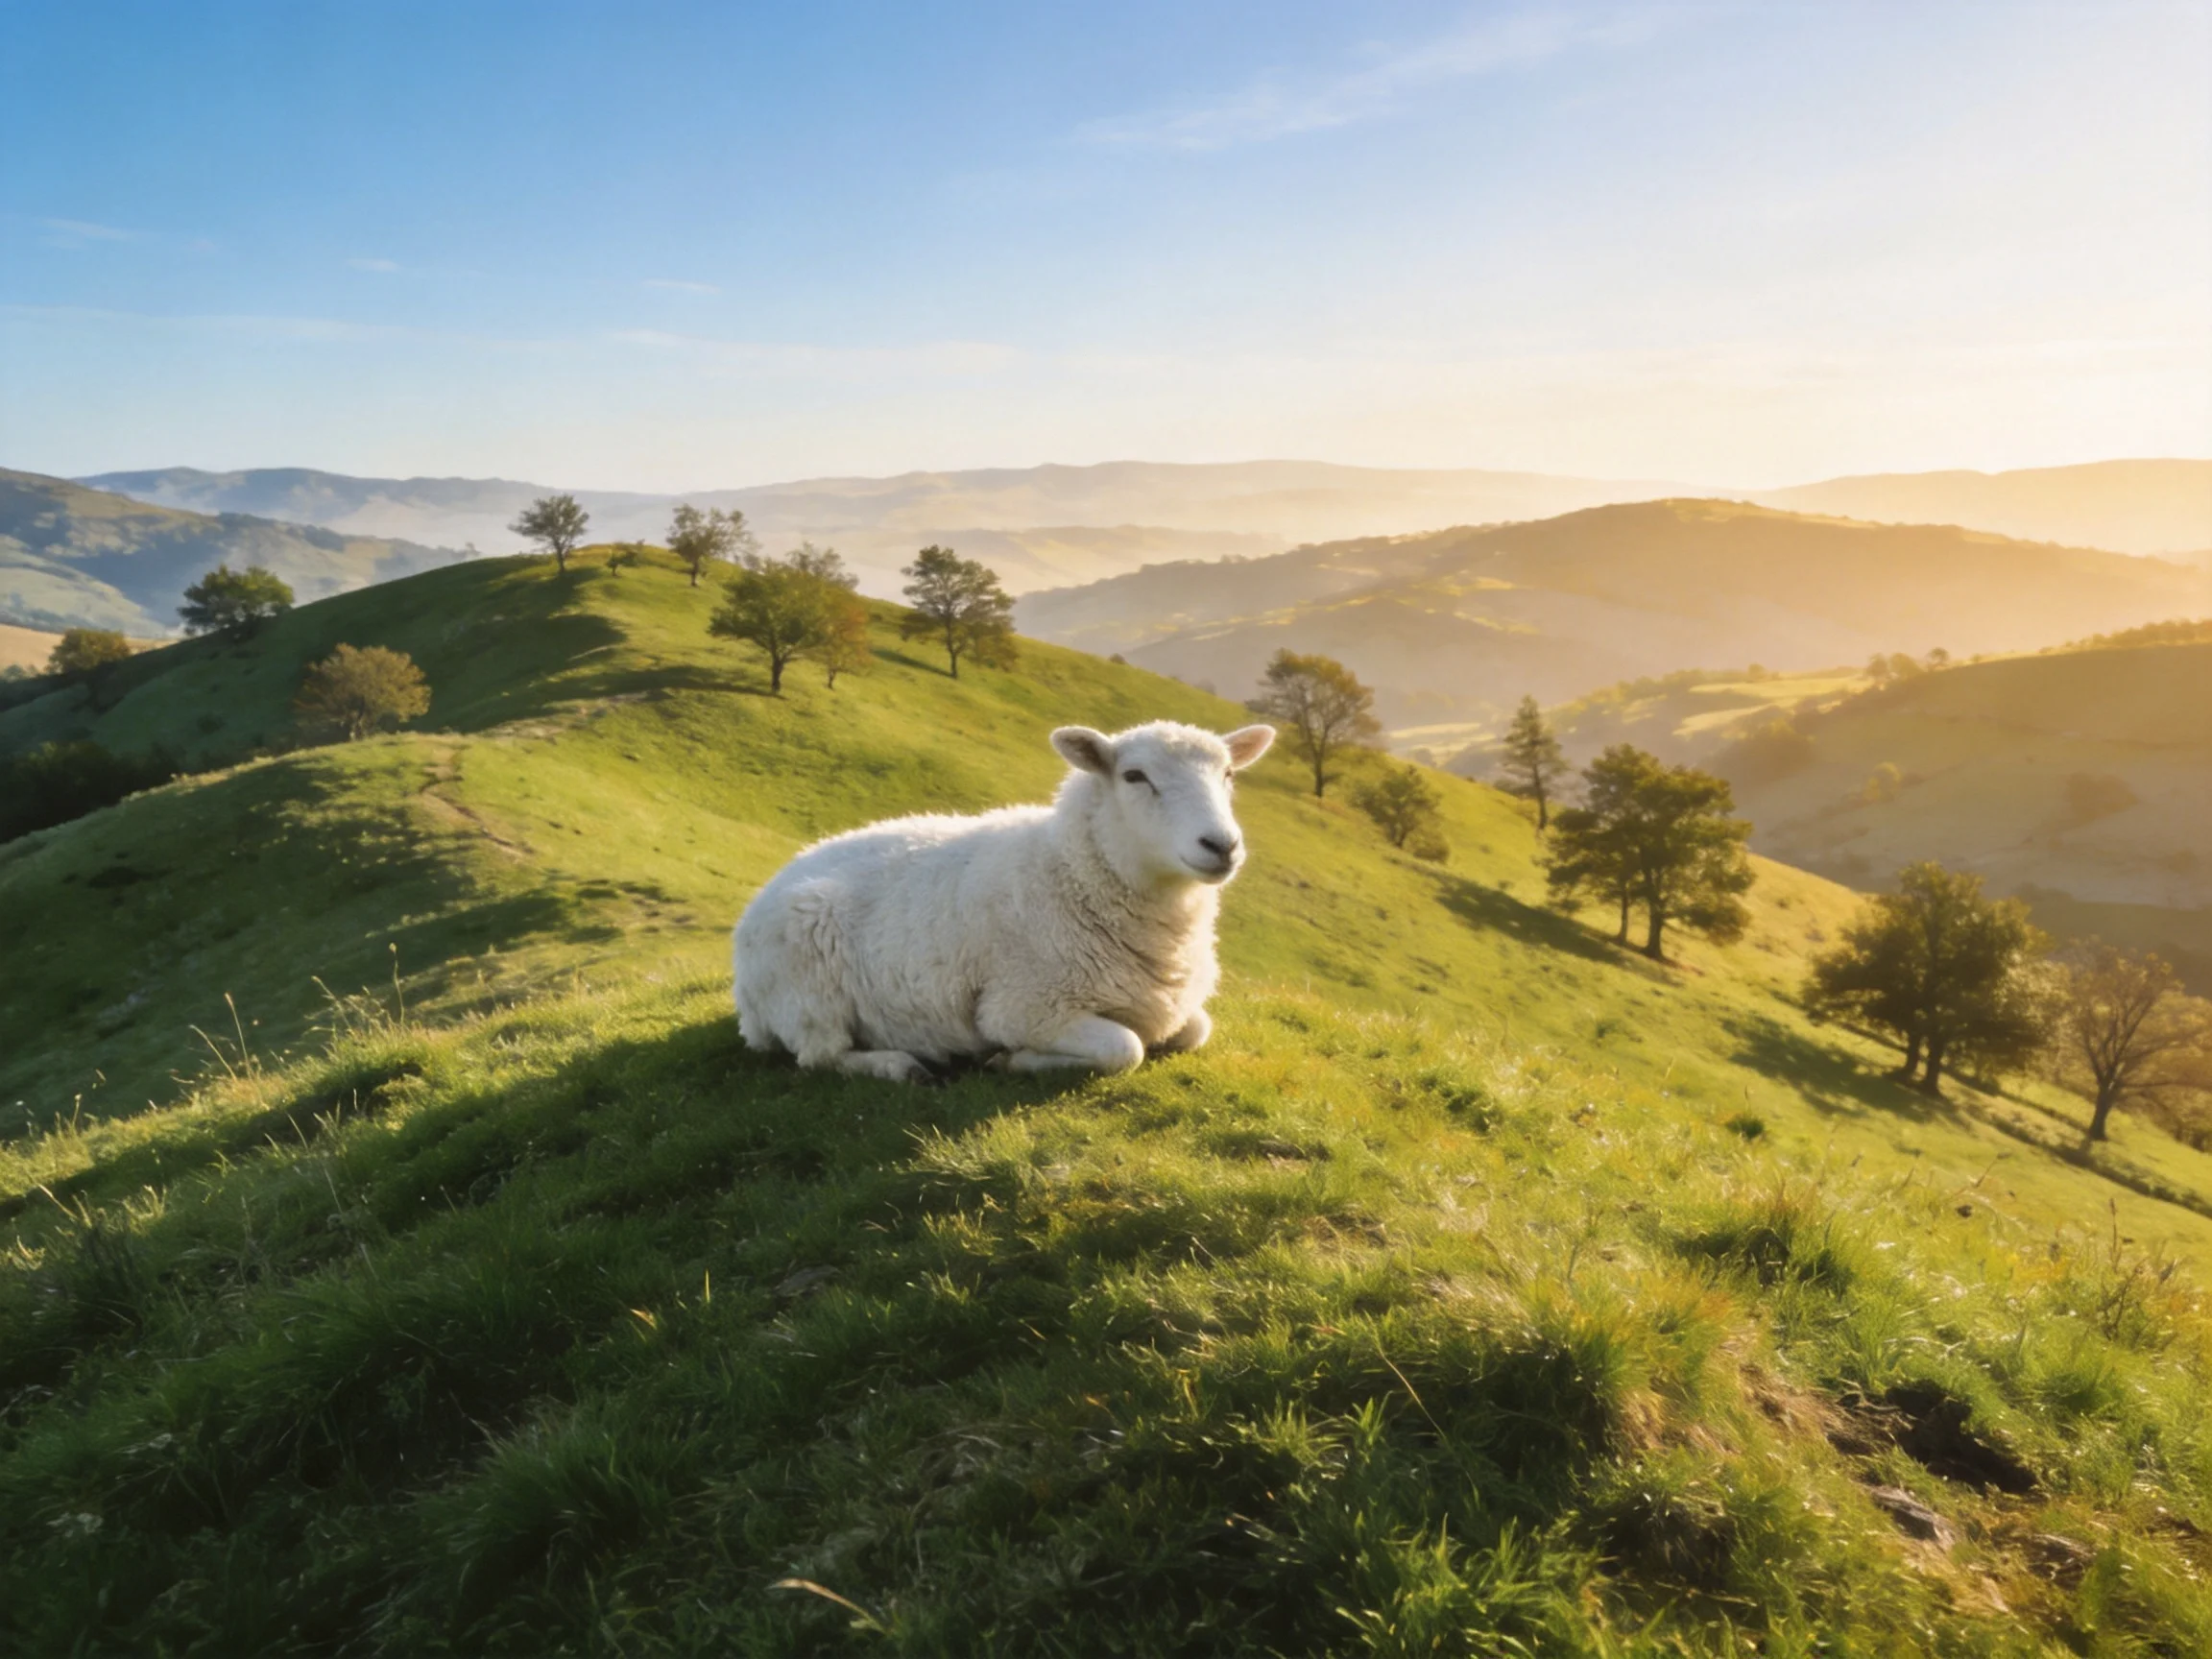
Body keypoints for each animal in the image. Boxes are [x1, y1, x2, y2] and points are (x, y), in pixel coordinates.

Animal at [732, 720, 1277, 1082]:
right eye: (1135, 776)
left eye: (1229, 774)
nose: (1222, 845)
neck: (1069, 873)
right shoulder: (1024, 1007)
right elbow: (1127, 1048)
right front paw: (1012, 1059)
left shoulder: (1172, 1007)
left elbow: (1196, 1028)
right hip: (807, 989)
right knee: (819, 1055)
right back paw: (897, 1064)